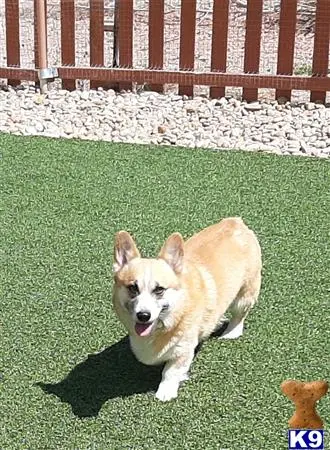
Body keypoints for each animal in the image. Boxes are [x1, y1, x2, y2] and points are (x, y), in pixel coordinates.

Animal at [112, 217, 262, 400]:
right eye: (133, 288)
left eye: (159, 290)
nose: (143, 315)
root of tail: (235, 221)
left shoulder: (183, 349)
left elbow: (171, 371)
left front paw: (165, 392)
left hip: (244, 295)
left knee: (239, 315)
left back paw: (231, 333)